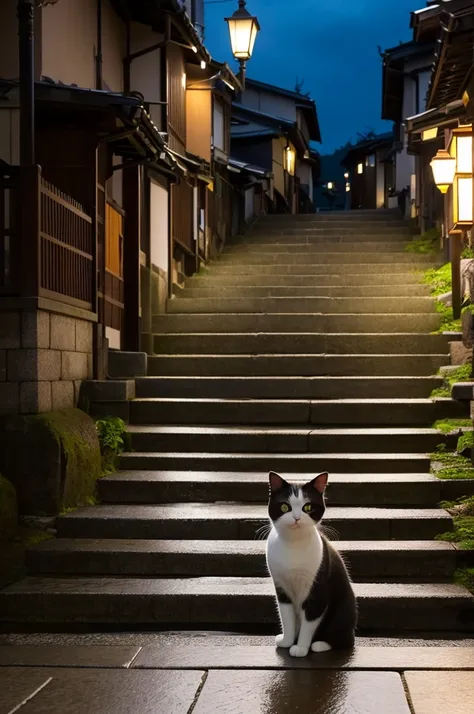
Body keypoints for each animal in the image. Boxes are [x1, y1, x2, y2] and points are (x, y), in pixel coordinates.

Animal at [264, 470, 358, 660]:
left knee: (345, 639)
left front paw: (300, 648)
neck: (293, 545)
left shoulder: (318, 589)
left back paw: (320, 644)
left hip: (344, 608)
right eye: (285, 507)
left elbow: (310, 622)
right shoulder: (281, 588)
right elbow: (286, 617)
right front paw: (287, 641)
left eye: (307, 507)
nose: (296, 518)